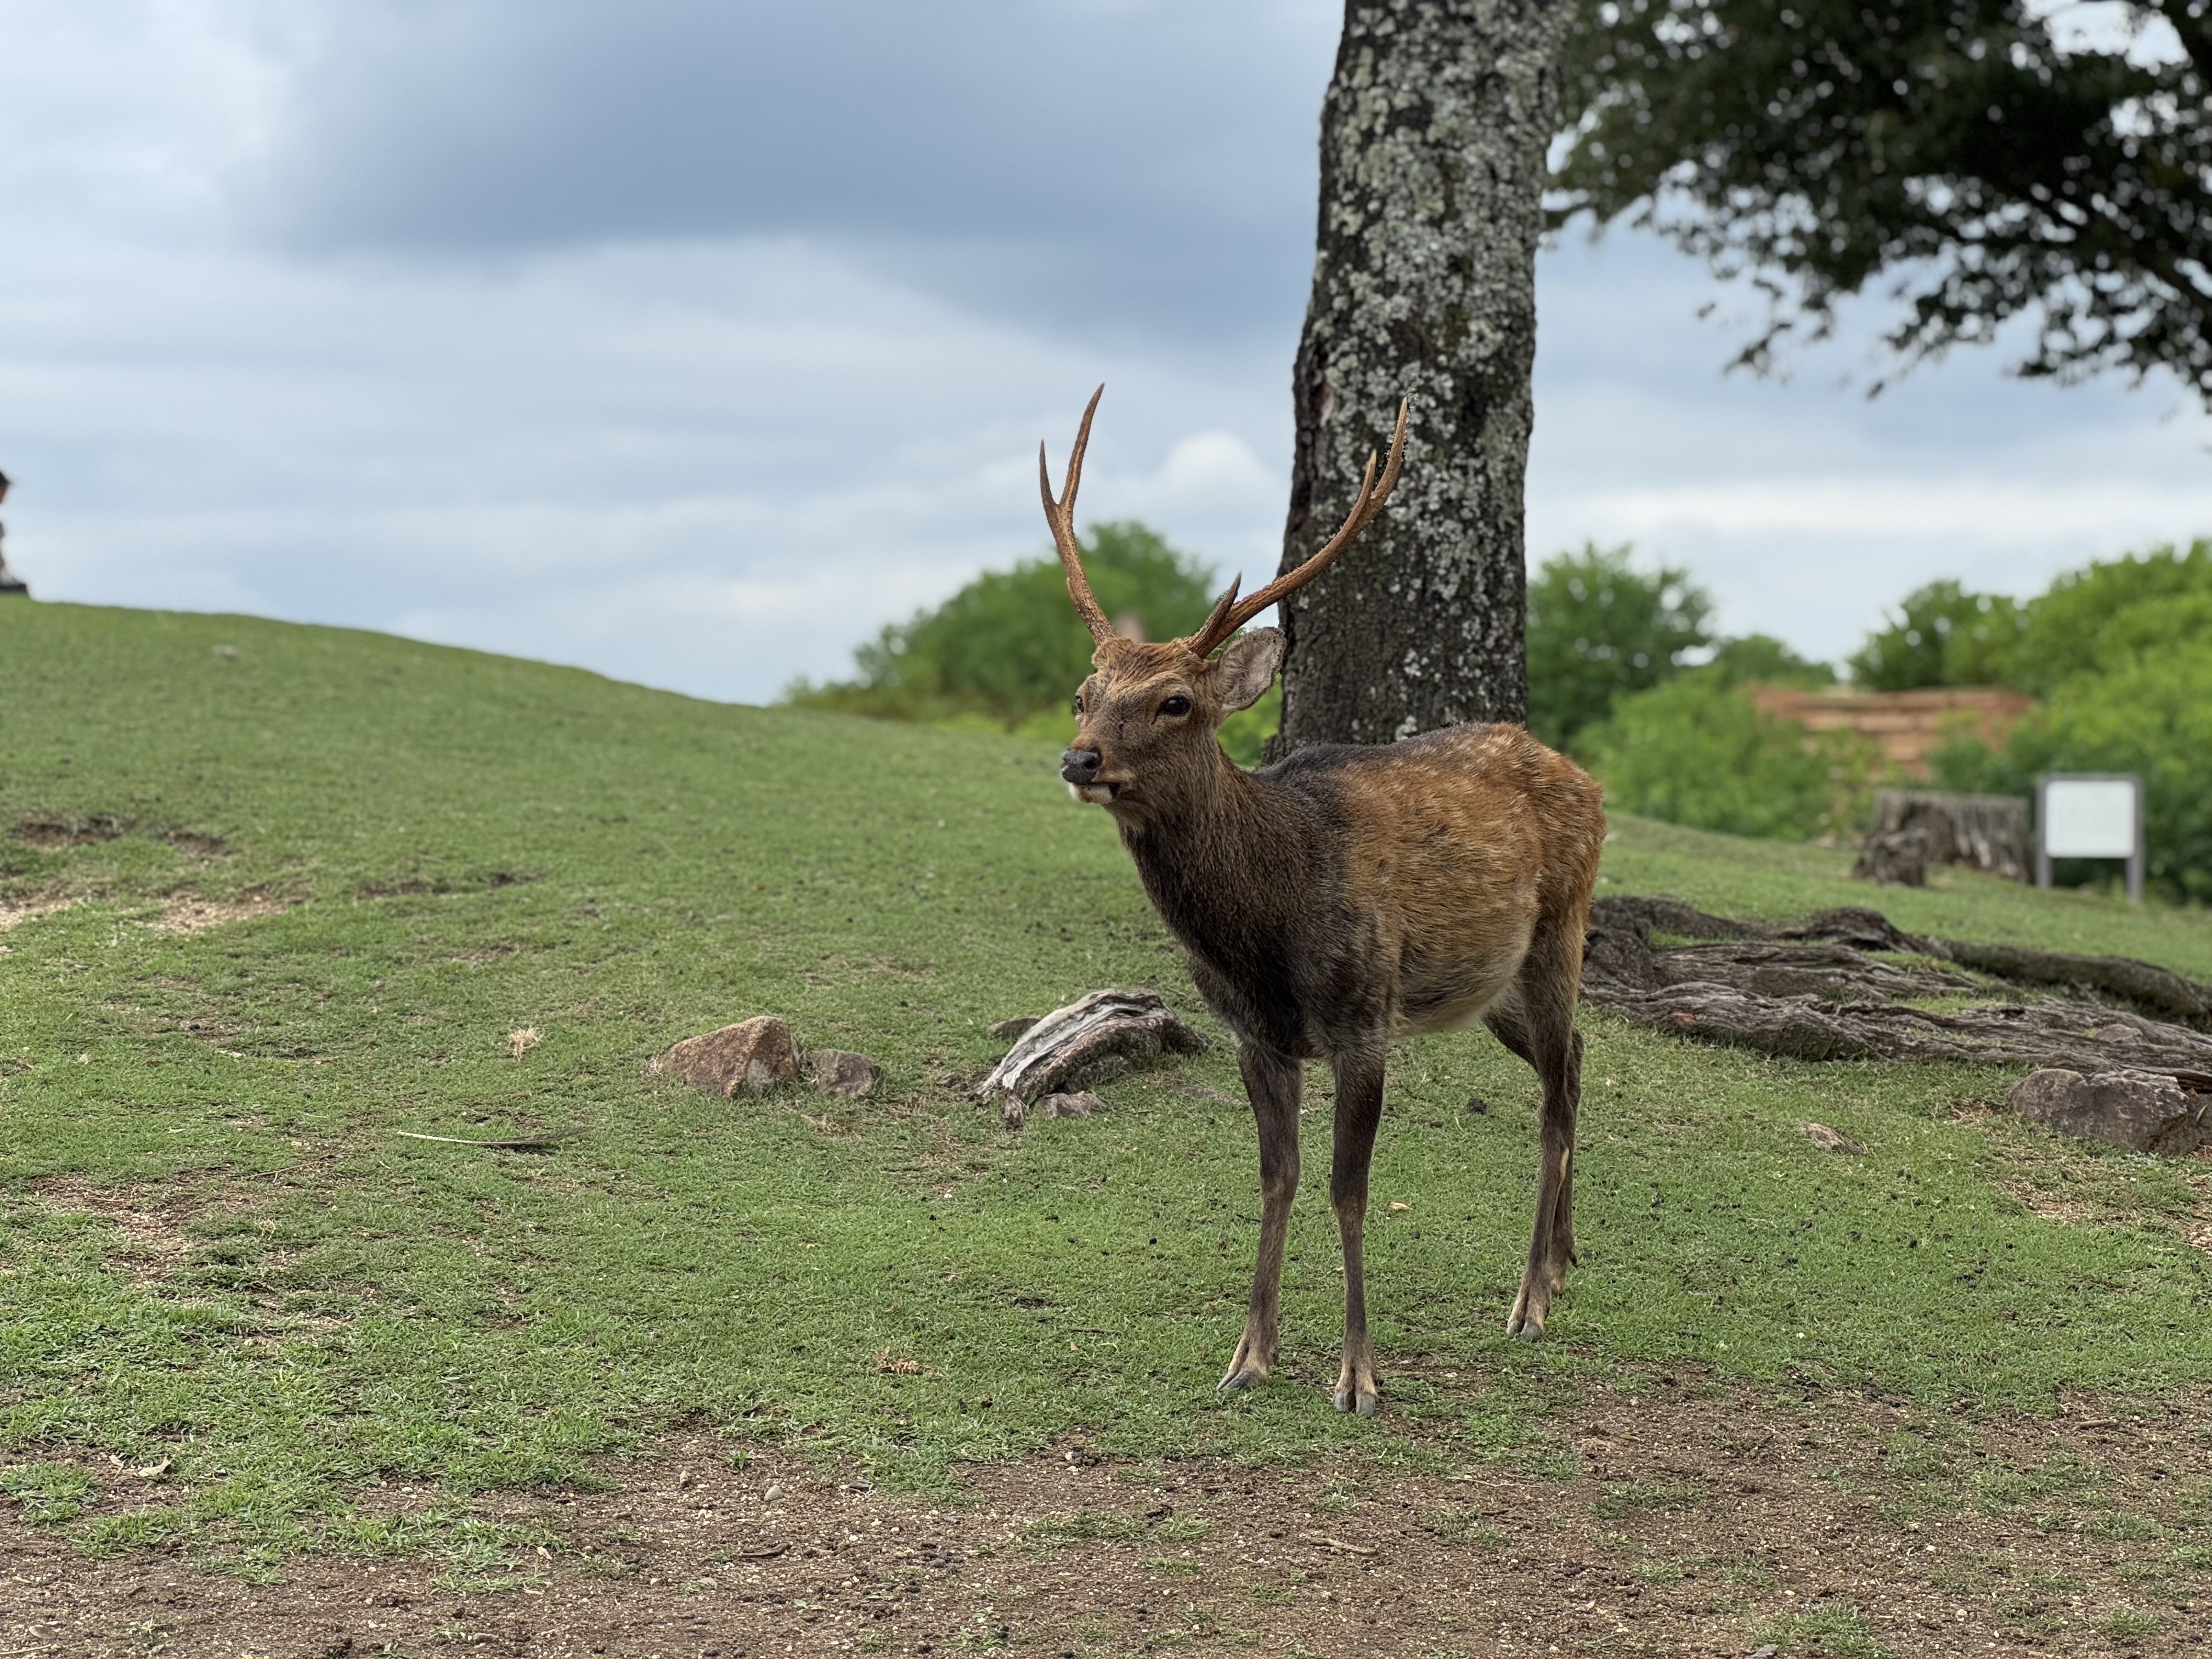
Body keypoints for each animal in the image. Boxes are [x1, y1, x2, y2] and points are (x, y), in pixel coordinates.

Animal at [1038, 387, 1606, 1416]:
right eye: (1083, 691)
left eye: (1176, 701)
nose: (1080, 758)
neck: (1265, 928)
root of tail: (1588, 781)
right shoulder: (1253, 1032)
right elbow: (1278, 1179)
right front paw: (1247, 1356)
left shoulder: (1362, 1018)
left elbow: (1348, 1189)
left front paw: (1358, 1377)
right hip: (1487, 985)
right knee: (1578, 1059)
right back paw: (1563, 1260)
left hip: (1561, 932)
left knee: (1553, 1094)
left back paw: (1529, 1301)